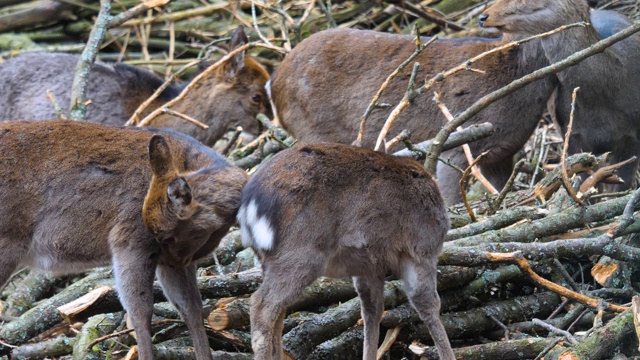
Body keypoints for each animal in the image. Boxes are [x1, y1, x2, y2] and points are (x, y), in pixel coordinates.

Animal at [0, 119, 248, 358]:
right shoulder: (130, 239)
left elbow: (190, 306)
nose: (171, 261)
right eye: (163, 236)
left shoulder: (180, 261)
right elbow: (140, 310)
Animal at [239, 143, 456, 360]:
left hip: (268, 259)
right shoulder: (421, 250)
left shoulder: (369, 266)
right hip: (301, 253)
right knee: (261, 304)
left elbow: (372, 310)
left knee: (279, 310)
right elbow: (427, 304)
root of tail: (248, 206)